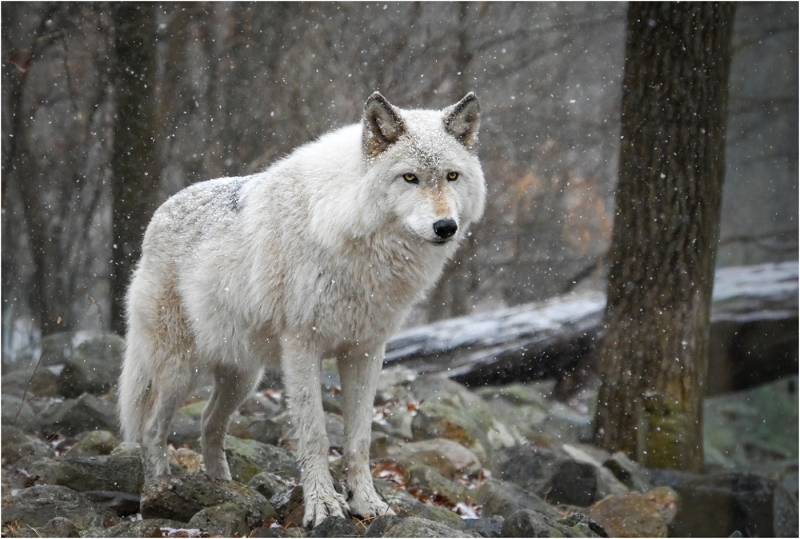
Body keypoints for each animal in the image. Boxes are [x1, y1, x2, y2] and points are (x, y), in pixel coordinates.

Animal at [118, 92, 486, 527]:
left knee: (209, 423)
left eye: (452, 176)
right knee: (152, 429)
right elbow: (315, 435)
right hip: (179, 370)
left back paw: (222, 488)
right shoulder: (301, 347)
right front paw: (324, 506)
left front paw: (367, 504)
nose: (445, 227)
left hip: (243, 378)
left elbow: (359, 439)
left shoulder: (365, 351)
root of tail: (158, 214)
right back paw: (158, 492)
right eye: (409, 178)